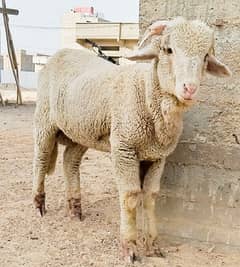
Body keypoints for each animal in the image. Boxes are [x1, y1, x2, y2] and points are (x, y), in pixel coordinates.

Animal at [32, 17, 232, 262]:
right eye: (168, 50)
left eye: (205, 57)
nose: (190, 88)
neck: (146, 93)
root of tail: (61, 52)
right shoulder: (124, 148)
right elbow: (130, 196)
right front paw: (129, 247)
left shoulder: (157, 157)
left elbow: (150, 196)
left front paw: (153, 246)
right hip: (44, 120)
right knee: (41, 160)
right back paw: (39, 204)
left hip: (81, 131)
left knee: (70, 161)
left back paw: (75, 209)